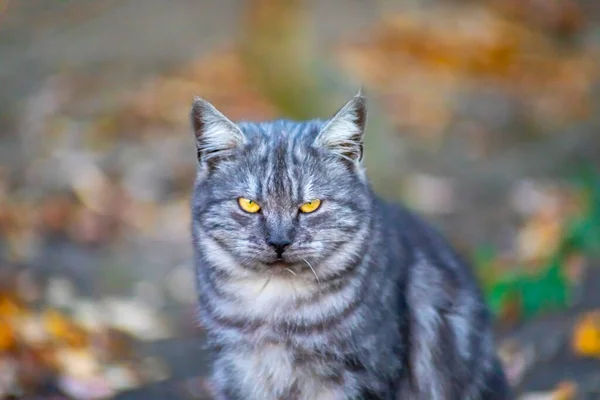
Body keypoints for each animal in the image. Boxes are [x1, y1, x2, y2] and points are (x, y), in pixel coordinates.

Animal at [189, 92, 510, 398]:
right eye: (249, 204)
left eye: (311, 205)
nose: (279, 241)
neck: (275, 312)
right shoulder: (235, 372)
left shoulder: (364, 376)